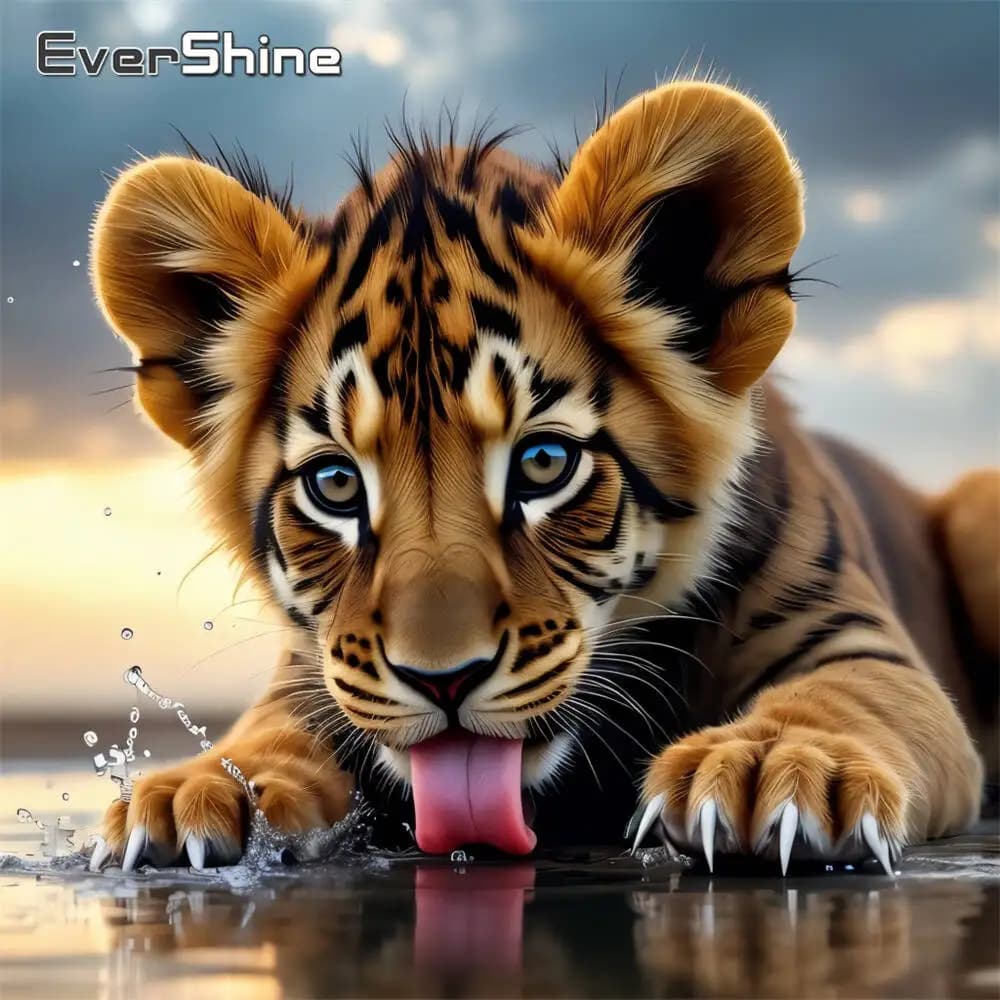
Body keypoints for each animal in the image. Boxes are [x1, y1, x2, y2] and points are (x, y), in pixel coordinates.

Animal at [86, 79, 997, 875]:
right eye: (336, 485)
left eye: (543, 464)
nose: (443, 679)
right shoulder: (314, 673)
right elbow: (270, 733)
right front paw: (196, 791)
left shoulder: (857, 643)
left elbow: (845, 700)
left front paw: (767, 765)